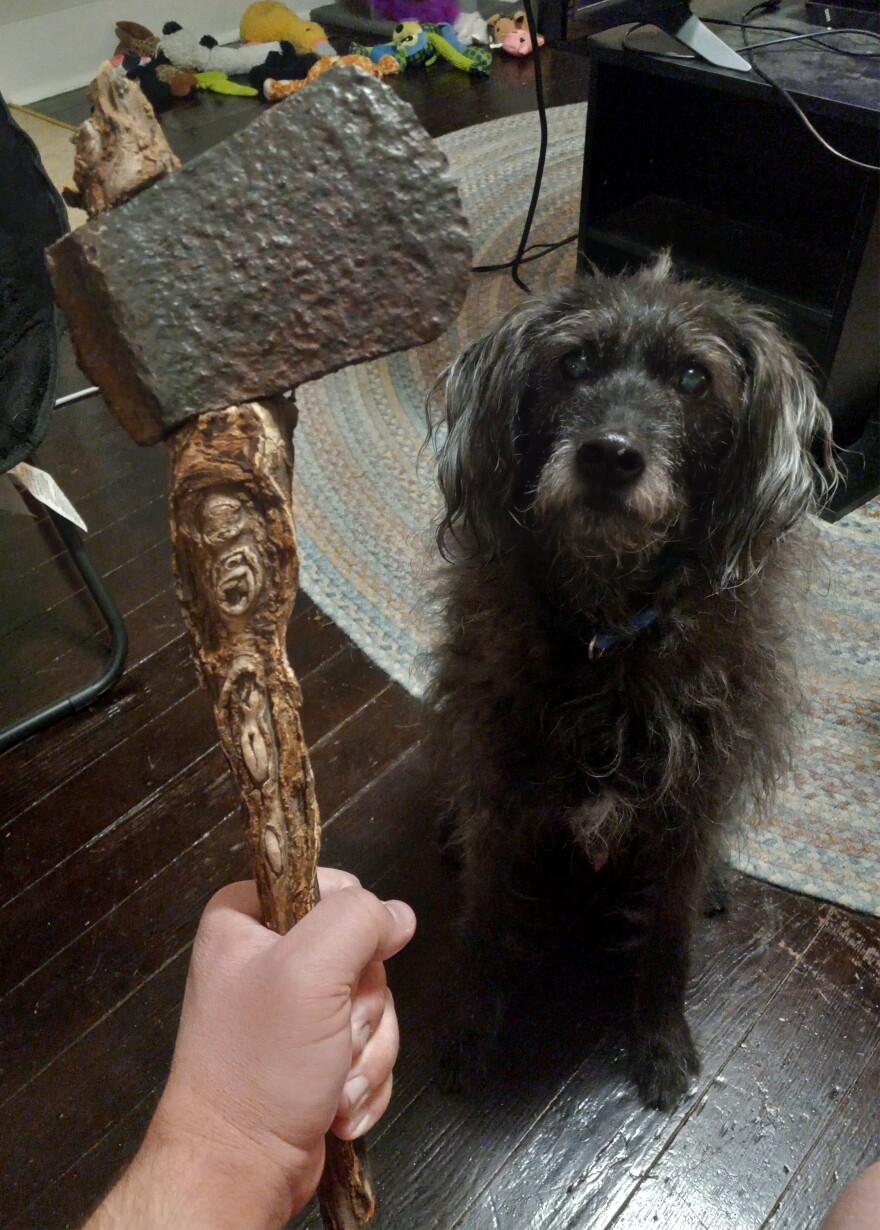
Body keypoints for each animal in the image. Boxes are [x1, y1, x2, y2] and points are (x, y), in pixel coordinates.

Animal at [425, 254, 832, 1111]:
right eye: (575, 362)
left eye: (693, 377)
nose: (609, 456)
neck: (608, 628)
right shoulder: (500, 787)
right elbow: (484, 916)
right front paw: (472, 1028)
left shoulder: (692, 803)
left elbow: (668, 936)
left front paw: (660, 1039)